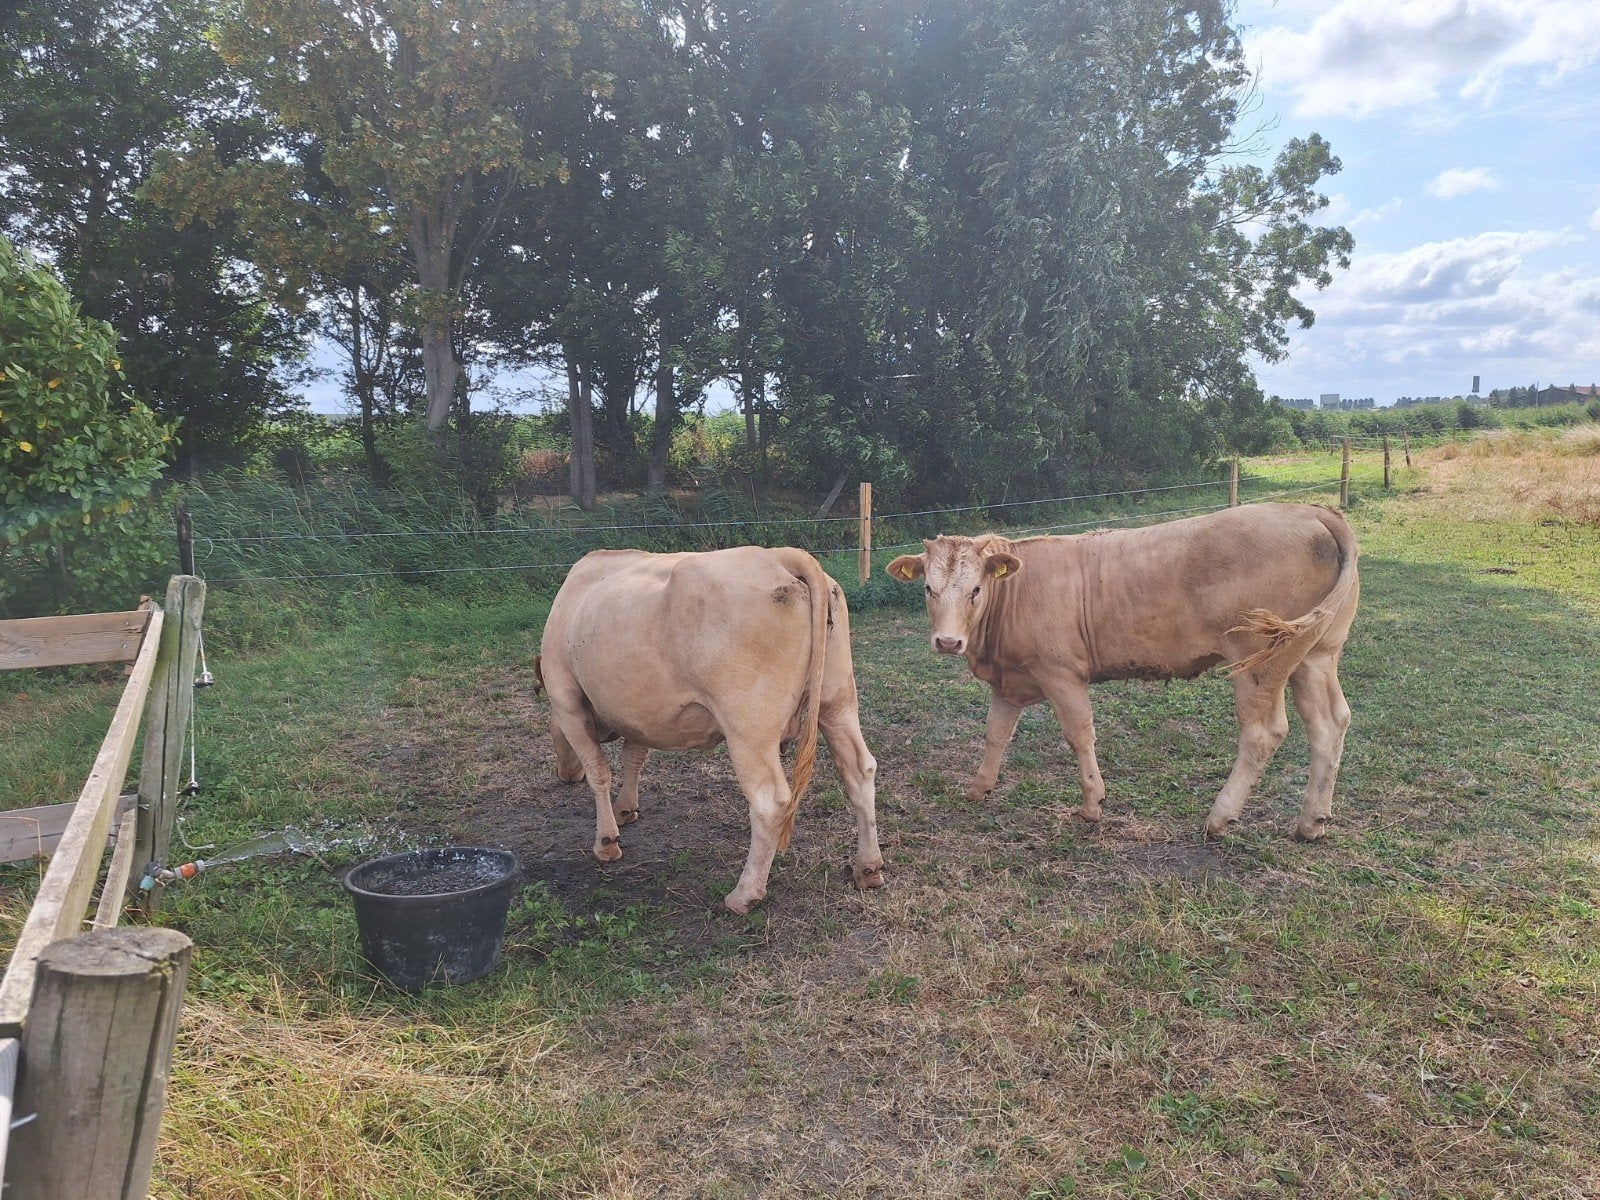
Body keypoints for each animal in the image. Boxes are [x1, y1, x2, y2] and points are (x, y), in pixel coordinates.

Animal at [536, 545, 884, 913]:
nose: (566, 775)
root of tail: (780, 555)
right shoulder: (639, 712)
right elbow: (634, 756)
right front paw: (625, 809)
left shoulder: (567, 701)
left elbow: (598, 772)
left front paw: (606, 840)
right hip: (838, 703)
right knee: (859, 770)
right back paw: (868, 867)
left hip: (748, 727)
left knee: (769, 801)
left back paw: (744, 894)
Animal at [886, 503, 1359, 840]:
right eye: (928, 588)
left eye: (976, 589)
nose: (949, 642)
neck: (1014, 593)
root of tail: (1308, 510)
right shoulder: (1009, 680)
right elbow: (996, 734)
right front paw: (979, 788)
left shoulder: (1060, 672)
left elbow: (1079, 733)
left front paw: (1092, 805)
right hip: (1316, 655)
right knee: (1329, 724)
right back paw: (1312, 822)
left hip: (1258, 660)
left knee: (1263, 732)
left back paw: (1220, 816)